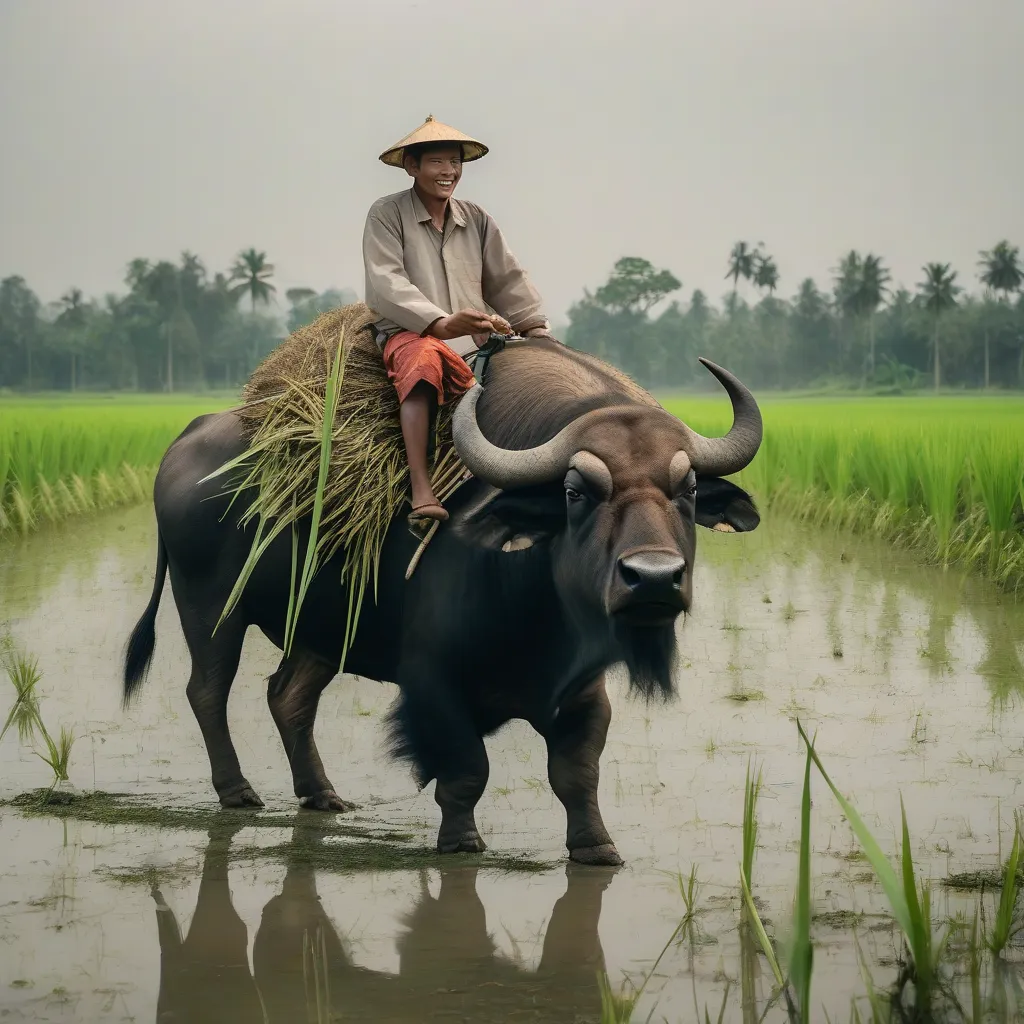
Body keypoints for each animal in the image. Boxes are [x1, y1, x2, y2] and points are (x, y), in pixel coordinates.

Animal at [123, 335, 761, 864]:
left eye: (689, 488)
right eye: (576, 491)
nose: (653, 578)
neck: (532, 605)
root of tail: (188, 437)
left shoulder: (583, 689)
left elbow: (577, 773)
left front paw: (596, 847)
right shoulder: (431, 681)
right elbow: (466, 768)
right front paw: (460, 841)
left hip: (325, 627)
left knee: (289, 697)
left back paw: (321, 793)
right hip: (209, 608)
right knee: (208, 691)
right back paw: (238, 791)